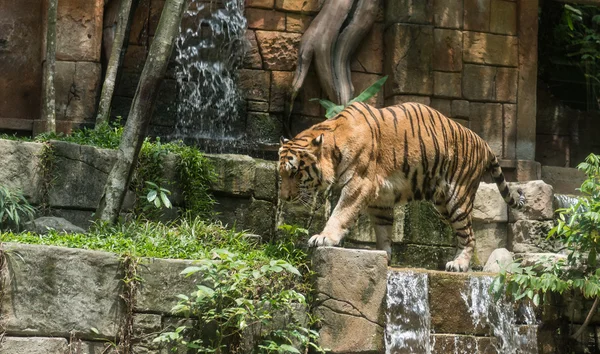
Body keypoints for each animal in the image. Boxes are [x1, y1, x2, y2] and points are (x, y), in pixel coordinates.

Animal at [278, 101, 524, 272]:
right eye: (281, 174)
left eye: (295, 173)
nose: (285, 197)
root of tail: (484, 142)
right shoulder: (379, 199)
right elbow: (383, 230)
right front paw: (384, 254)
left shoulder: (358, 185)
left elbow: (340, 213)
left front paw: (324, 238)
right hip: (443, 205)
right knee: (465, 232)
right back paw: (460, 261)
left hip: (458, 197)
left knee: (469, 235)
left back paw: (459, 265)